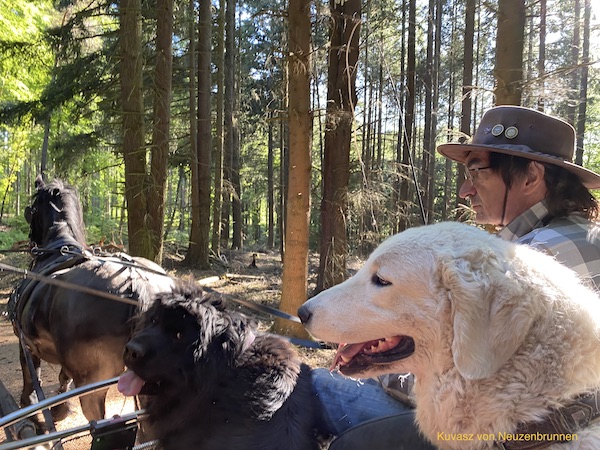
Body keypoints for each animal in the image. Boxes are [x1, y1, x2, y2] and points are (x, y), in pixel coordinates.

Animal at [9, 178, 173, 424]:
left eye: (32, 209)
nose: (30, 243)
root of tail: (138, 283)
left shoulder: (26, 343)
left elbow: (31, 378)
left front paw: (33, 412)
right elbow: (63, 377)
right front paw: (59, 408)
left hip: (92, 385)